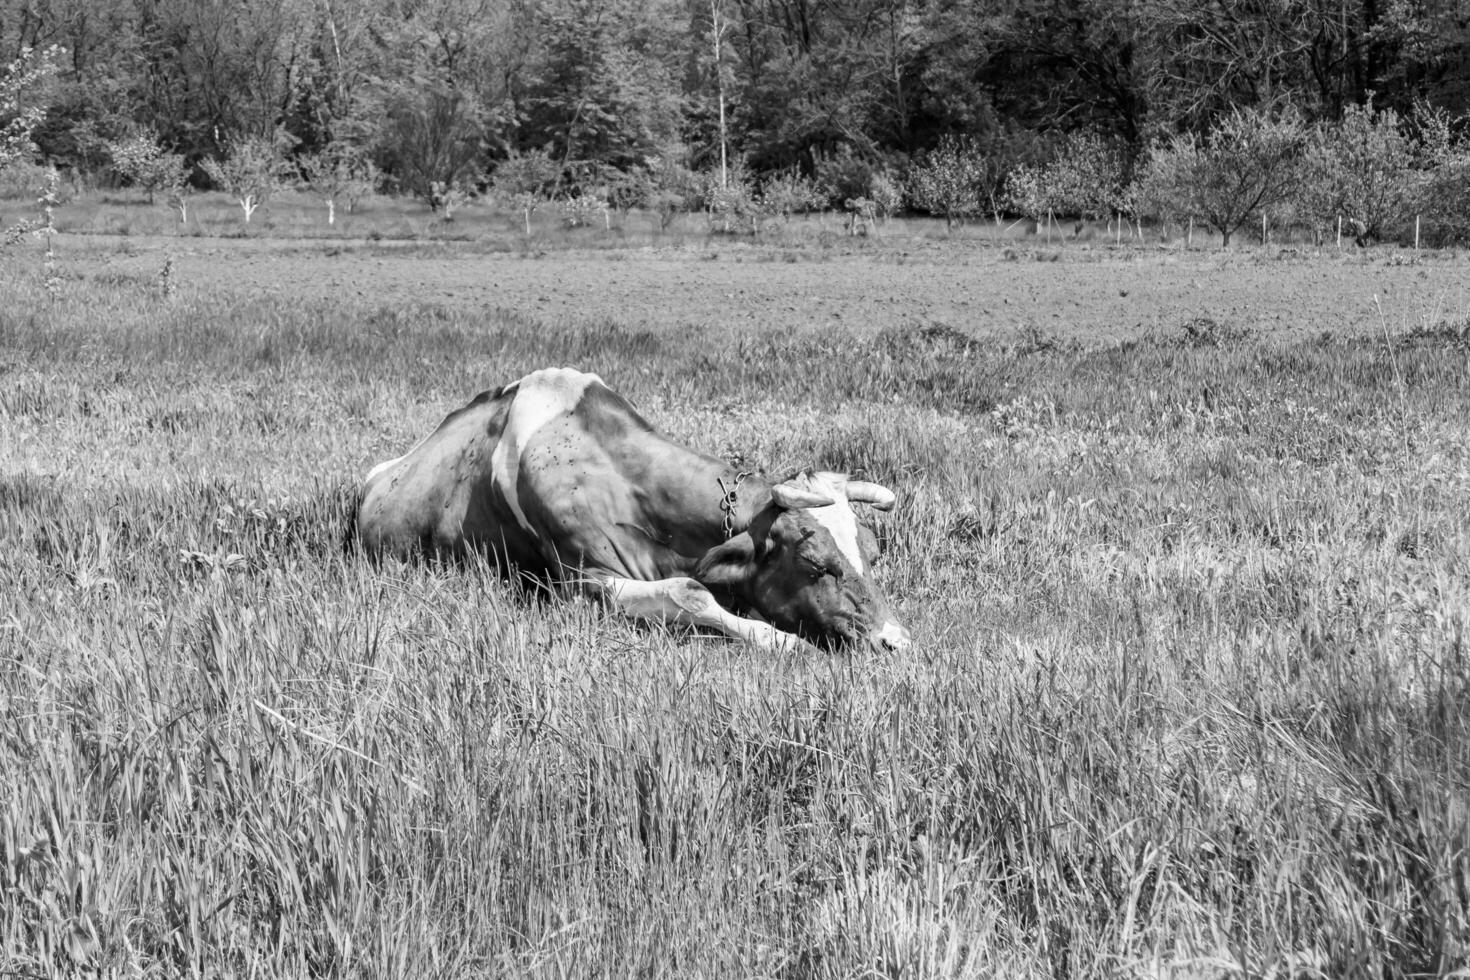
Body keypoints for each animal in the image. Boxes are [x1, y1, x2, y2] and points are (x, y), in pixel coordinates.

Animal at [355, 365, 905, 652]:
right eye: (816, 565)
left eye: (873, 553)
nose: (896, 642)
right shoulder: (579, 581)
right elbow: (691, 592)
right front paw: (781, 641)